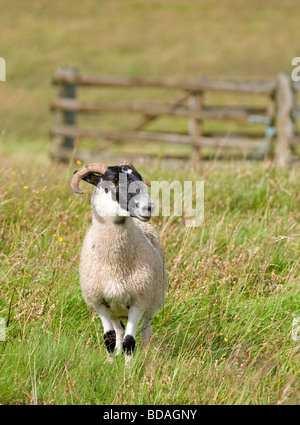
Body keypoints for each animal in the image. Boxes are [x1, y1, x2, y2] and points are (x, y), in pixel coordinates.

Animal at [71, 159, 168, 362]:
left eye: (139, 178)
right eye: (114, 182)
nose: (148, 207)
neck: (114, 265)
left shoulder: (138, 301)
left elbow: (130, 342)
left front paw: (129, 368)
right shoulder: (99, 302)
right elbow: (109, 338)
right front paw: (109, 363)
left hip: (153, 303)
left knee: (145, 332)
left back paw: (145, 356)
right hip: (115, 310)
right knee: (119, 332)